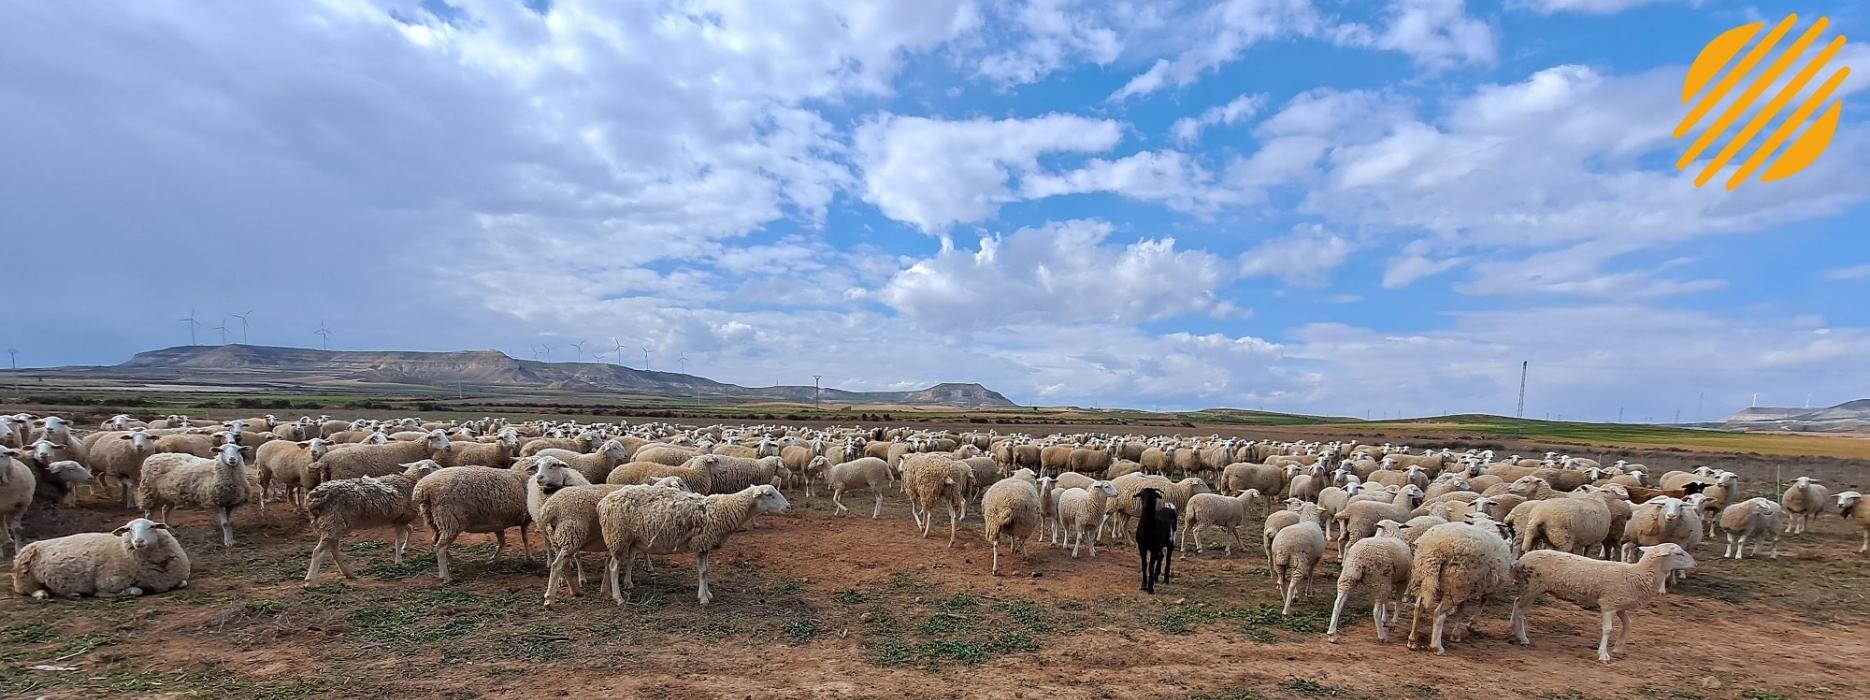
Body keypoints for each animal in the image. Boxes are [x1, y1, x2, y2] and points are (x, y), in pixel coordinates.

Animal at [11, 518, 190, 599]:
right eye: (129, 529)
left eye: (151, 527)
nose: (139, 541)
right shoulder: (108, 582)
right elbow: (135, 591)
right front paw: (118, 594)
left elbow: (183, 583)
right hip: (25, 578)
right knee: (29, 590)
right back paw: (43, 593)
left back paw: (73, 593)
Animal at [302, 460, 444, 584]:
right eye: (434, 466)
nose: (443, 469)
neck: (410, 481)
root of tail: (314, 498)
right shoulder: (402, 519)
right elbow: (398, 541)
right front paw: (399, 562)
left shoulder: (399, 519)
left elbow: (410, 529)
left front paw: (404, 549)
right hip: (333, 523)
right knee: (319, 551)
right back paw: (310, 580)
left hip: (334, 525)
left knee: (333, 550)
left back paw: (348, 573)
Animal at [598, 484, 789, 605]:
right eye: (769, 495)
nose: (788, 507)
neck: (725, 509)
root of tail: (603, 502)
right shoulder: (702, 542)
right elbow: (703, 571)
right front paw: (703, 598)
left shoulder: (706, 545)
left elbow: (707, 570)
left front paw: (708, 594)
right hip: (618, 537)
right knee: (614, 567)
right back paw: (618, 598)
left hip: (629, 539)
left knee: (624, 562)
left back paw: (627, 585)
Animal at [1406, 520, 1514, 655]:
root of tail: (1435, 549)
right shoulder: (1489, 585)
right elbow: (1482, 602)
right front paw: (1471, 624)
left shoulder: (1467, 586)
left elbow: (1462, 609)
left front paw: (1456, 634)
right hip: (1455, 583)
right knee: (1438, 614)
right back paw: (1437, 646)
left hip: (1425, 577)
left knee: (1418, 607)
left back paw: (1412, 641)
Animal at [1509, 544, 1697, 663]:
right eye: (1679, 553)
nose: (1695, 564)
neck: (1636, 574)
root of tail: (1521, 559)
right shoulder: (1608, 604)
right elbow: (1607, 629)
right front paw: (1603, 654)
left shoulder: (1620, 605)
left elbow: (1628, 624)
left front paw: (1619, 648)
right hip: (1533, 587)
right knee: (1521, 610)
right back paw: (1523, 637)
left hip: (1530, 588)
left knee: (1516, 602)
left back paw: (1514, 628)